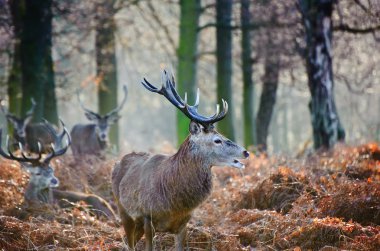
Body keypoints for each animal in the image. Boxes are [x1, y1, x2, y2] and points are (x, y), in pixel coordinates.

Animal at [113, 71, 249, 251]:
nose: (246, 152)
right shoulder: (147, 217)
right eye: (217, 140)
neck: (174, 204)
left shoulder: (183, 224)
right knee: (129, 243)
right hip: (123, 211)